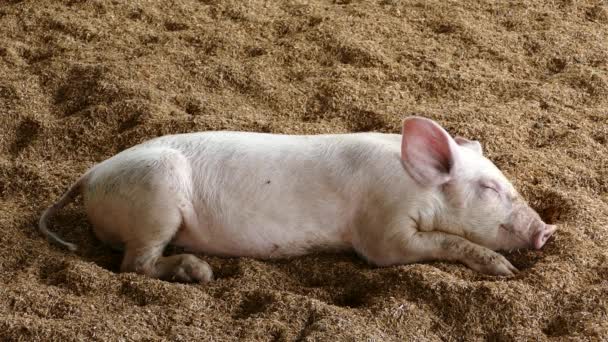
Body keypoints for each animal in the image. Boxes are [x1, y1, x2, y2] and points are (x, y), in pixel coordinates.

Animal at [38, 116, 556, 282]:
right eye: (489, 188)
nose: (547, 229)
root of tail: (90, 175)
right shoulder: (382, 226)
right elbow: (420, 246)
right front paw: (504, 270)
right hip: (155, 197)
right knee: (133, 265)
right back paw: (201, 272)